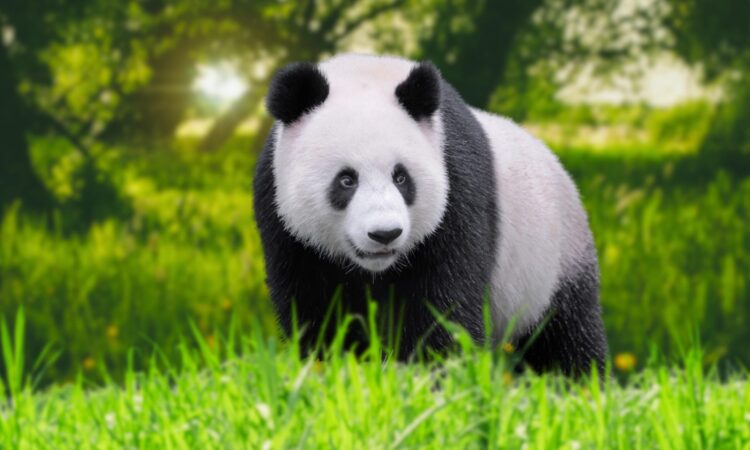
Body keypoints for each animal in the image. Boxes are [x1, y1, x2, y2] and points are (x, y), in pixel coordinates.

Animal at [254, 54, 607, 376]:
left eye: (401, 177)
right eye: (346, 180)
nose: (385, 234)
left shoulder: (458, 191)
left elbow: (444, 305)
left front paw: (431, 376)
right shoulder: (283, 220)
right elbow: (316, 307)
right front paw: (332, 367)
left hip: (553, 260)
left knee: (565, 335)